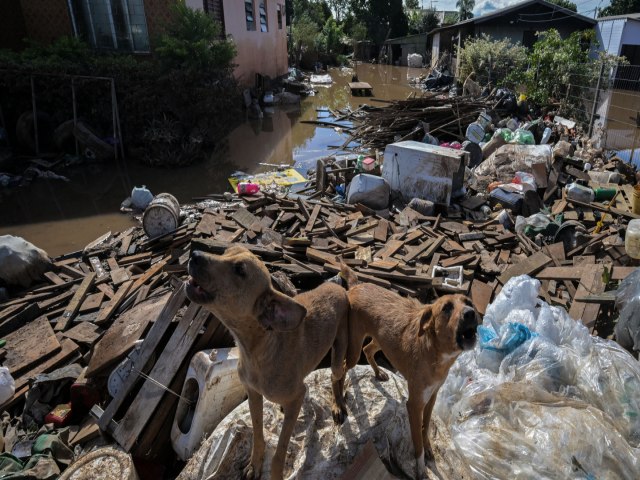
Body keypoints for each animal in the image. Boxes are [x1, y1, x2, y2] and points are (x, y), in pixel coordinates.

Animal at [184, 248, 350, 480]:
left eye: (240, 270)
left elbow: (280, 450)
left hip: (338, 350)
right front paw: (255, 464)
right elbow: (257, 432)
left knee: (338, 374)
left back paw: (337, 404)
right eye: (225, 252)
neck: (257, 351)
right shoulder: (253, 393)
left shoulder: (295, 397)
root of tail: (336, 285)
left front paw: (275, 473)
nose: (194, 254)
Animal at [342, 268, 478, 478]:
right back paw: (338, 403)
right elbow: (417, 442)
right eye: (446, 308)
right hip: (353, 346)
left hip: (381, 340)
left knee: (368, 350)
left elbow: (426, 426)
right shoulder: (414, 405)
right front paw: (420, 468)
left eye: (469, 303)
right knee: (341, 367)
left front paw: (429, 447)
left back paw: (379, 373)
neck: (435, 354)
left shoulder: (432, 396)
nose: (471, 314)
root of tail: (357, 284)